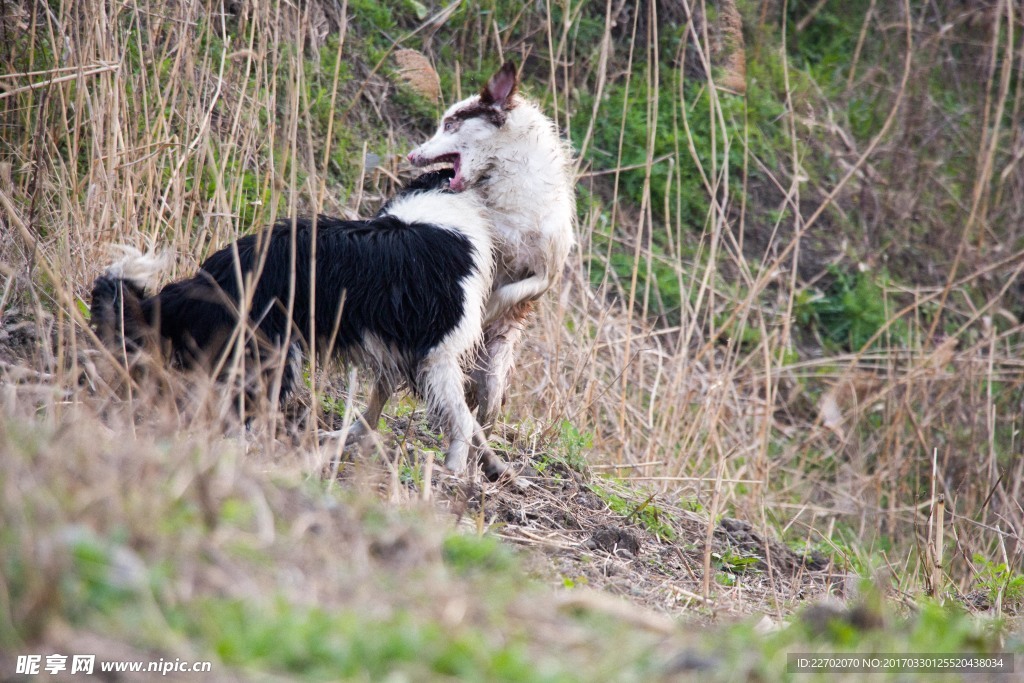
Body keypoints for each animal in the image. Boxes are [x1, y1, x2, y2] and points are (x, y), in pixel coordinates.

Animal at [92, 171, 507, 481]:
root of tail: (205, 278)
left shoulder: (398, 353)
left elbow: (382, 410)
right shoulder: (437, 354)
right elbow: (461, 417)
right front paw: (455, 467)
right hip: (272, 356)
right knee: (234, 418)